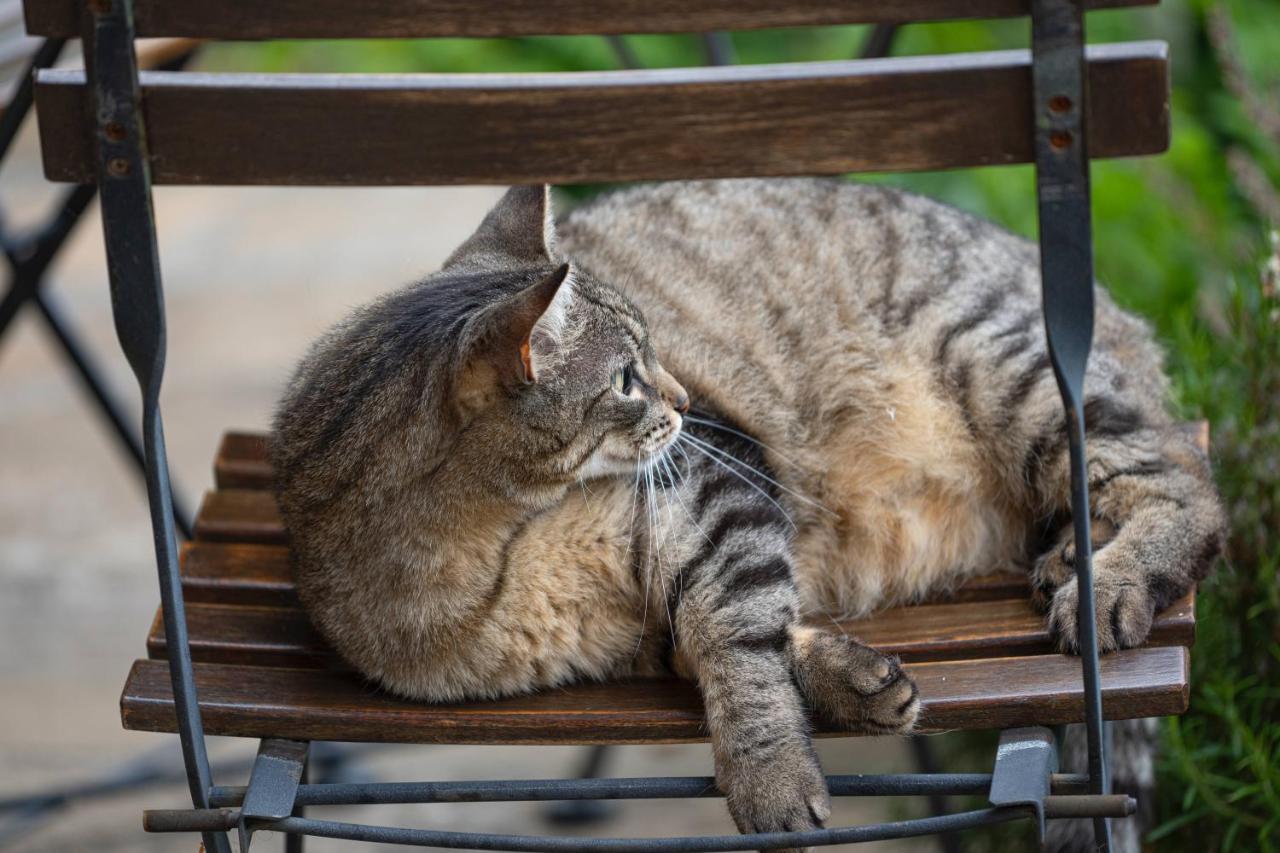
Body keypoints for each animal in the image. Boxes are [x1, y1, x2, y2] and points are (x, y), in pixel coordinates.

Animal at [275, 179, 1223, 845]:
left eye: (653, 354)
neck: (498, 552)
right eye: (628, 378)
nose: (685, 400)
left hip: (1009, 363)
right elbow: (729, 636)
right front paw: (846, 677)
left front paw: (770, 779)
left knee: (1186, 484)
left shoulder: (716, 485)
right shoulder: (632, 628)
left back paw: (1109, 580)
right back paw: (1066, 557)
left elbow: (734, 638)